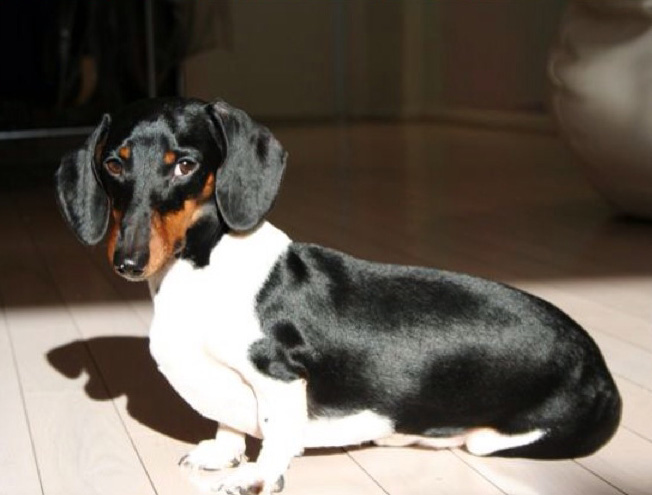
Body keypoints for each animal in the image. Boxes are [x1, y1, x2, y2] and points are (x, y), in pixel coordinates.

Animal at [54, 98, 620, 495]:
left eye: (185, 165)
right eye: (114, 163)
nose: (128, 262)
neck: (203, 271)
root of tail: (598, 365)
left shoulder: (278, 375)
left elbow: (275, 433)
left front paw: (256, 475)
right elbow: (229, 424)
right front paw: (224, 452)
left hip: (495, 437)